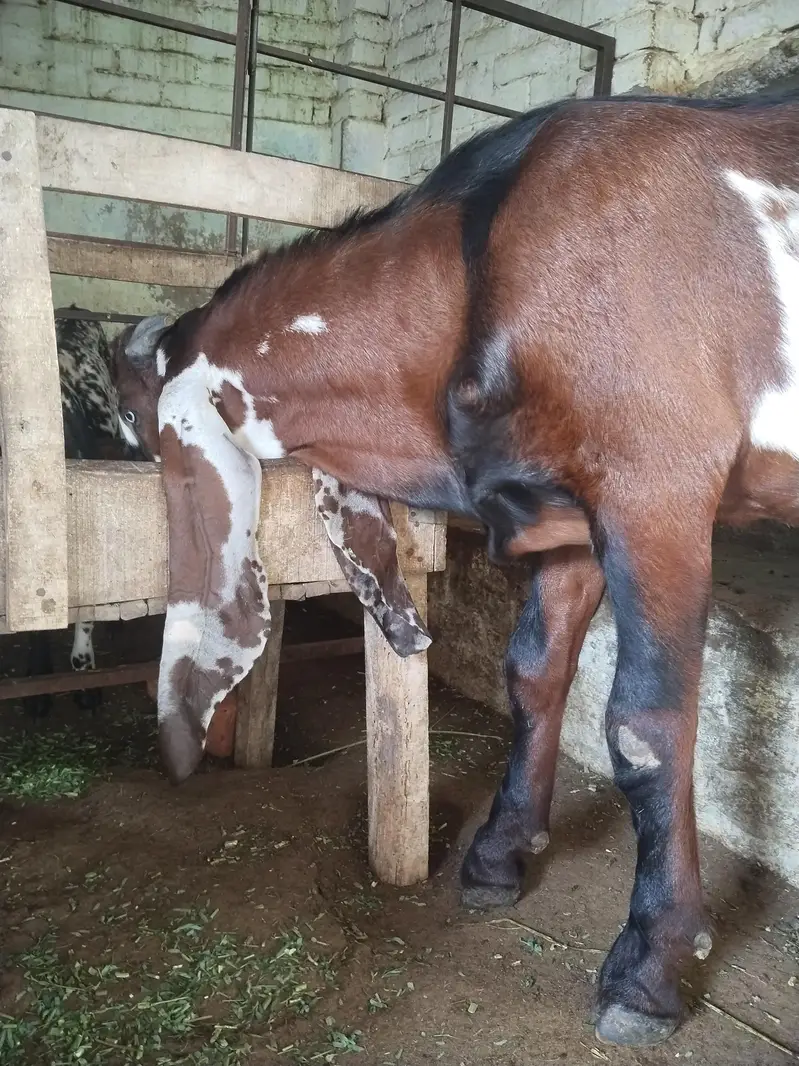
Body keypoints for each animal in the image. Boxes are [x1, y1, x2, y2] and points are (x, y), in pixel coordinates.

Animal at [113, 87, 799, 1048]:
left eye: (129, 418)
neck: (484, 263)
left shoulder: (655, 485)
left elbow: (644, 726)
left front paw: (649, 965)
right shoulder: (563, 510)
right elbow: (533, 676)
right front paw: (500, 855)